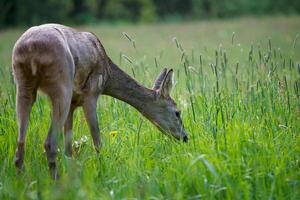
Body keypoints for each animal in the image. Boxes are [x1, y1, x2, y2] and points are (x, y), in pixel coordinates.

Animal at [12, 24, 189, 179]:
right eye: (177, 112)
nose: (185, 137)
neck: (108, 73)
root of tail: (31, 48)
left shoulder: (73, 104)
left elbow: (68, 149)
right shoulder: (91, 93)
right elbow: (97, 140)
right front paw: (102, 170)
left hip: (23, 84)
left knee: (20, 143)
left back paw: (21, 182)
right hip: (62, 85)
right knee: (50, 143)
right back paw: (54, 182)